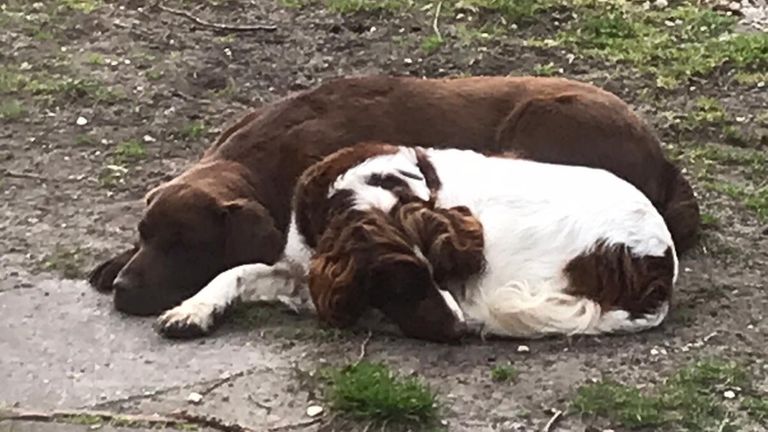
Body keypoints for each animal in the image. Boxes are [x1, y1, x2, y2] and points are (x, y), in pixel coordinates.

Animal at [87, 75, 700, 318]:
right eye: (146, 235)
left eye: (187, 246)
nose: (124, 292)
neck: (264, 159)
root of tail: (664, 158)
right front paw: (112, 262)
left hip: (536, 130)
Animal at [158, 143, 680, 342]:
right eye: (402, 284)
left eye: (443, 270)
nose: (460, 330)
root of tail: (659, 264)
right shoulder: (301, 262)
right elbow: (236, 271)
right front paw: (193, 309)